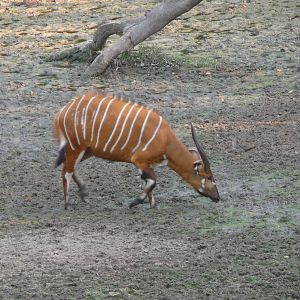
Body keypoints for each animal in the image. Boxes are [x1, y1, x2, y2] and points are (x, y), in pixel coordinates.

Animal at [52, 91, 219, 209]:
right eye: (209, 177)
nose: (217, 197)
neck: (165, 139)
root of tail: (61, 112)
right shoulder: (138, 160)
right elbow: (152, 180)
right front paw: (135, 202)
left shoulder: (145, 164)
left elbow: (148, 180)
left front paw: (152, 204)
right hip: (76, 147)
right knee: (66, 171)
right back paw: (67, 204)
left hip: (87, 150)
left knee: (69, 168)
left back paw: (83, 193)